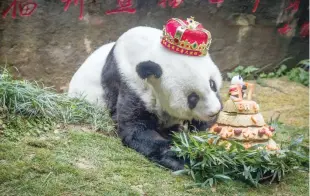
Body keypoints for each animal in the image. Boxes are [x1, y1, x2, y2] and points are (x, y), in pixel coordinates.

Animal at [68, 18, 223, 172]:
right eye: (192, 98)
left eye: (212, 84)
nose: (214, 111)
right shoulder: (130, 83)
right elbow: (136, 128)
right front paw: (184, 156)